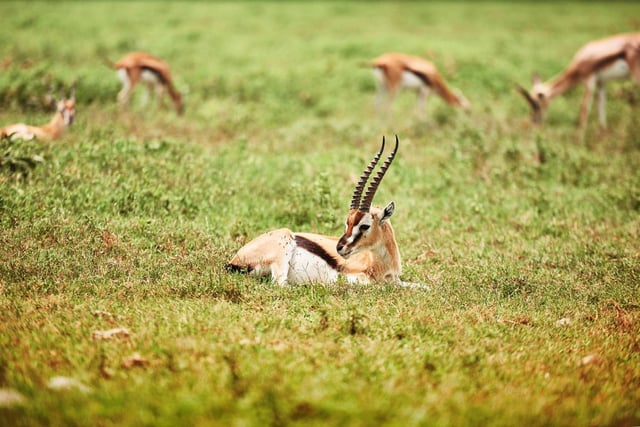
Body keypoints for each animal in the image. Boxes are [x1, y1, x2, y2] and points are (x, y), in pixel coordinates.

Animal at [227, 136, 409, 286]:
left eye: (365, 225)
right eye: (347, 223)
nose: (339, 248)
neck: (381, 265)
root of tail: (235, 260)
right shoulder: (353, 278)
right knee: (281, 284)